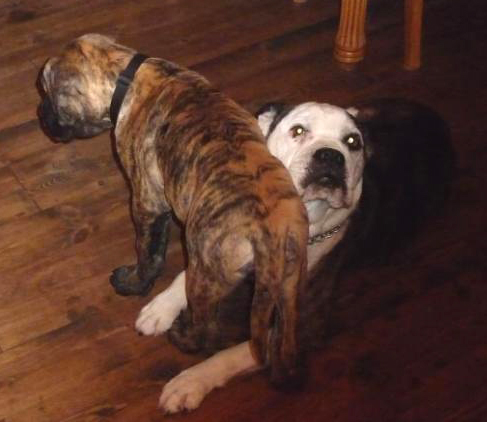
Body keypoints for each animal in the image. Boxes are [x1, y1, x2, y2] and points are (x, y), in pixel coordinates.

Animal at [38, 34, 310, 389]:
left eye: (48, 96)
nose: (40, 113)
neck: (127, 75)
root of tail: (274, 229)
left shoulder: (147, 202)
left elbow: (148, 254)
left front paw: (132, 283)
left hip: (205, 275)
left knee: (205, 325)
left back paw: (183, 337)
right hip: (291, 286)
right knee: (286, 338)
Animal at [136, 98, 454, 412]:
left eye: (352, 142)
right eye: (298, 130)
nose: (330, 155)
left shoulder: (302, 324)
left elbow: (238, 352)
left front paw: (191, 382)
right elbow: (188, 274)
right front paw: (162, 307)